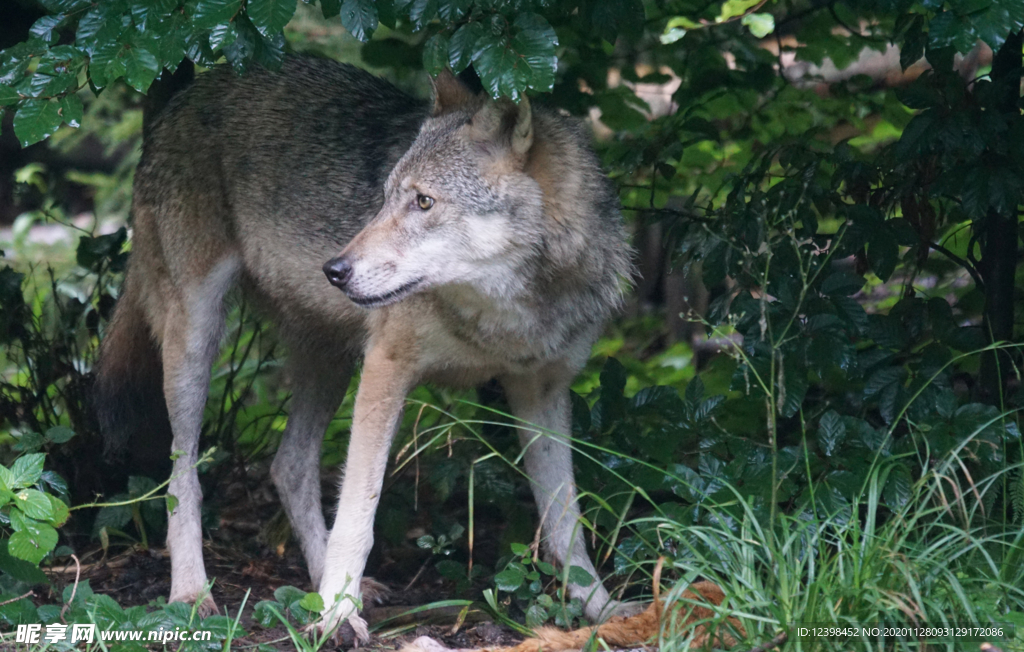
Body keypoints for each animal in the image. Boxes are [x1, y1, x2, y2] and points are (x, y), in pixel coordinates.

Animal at [96, 57, 634, 642]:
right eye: (384, 198)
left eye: (423, 202)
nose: (334, 270)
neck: (510, 314)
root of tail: (193, 91)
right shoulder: (385, 369)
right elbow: (359, 514)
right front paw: (336, 615)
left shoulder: (542, 390)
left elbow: (566, 522)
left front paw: (602, 609)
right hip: (196, 344)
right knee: (183, 480)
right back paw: (193, 593)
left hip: (328, 361)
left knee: (289, 466)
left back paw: (318, 583)